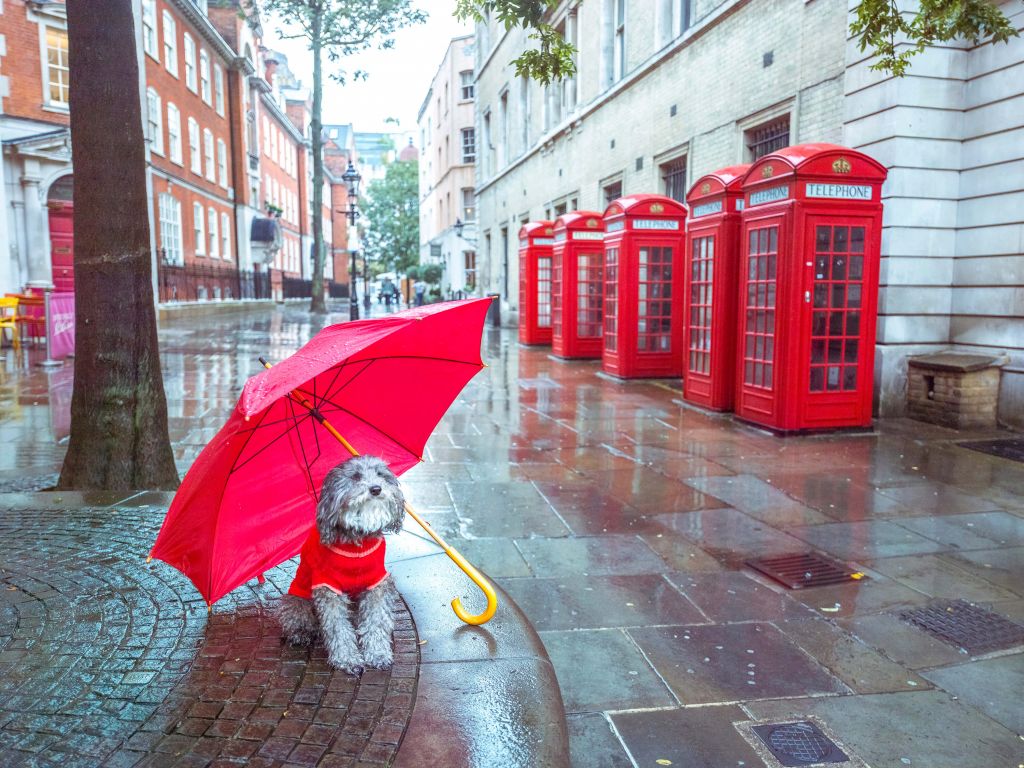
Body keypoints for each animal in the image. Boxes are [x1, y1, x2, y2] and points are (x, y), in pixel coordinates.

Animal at [280, 456, 407, 671]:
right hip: (296, 600)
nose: (376, 489)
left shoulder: (376, 584)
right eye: (355, 477)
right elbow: (337, 627)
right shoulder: (328, 588)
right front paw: (347, 659)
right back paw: (301, 634)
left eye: (380, 474)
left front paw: (378, 654)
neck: (358, 543)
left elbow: (376, 621)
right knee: (299, 620)